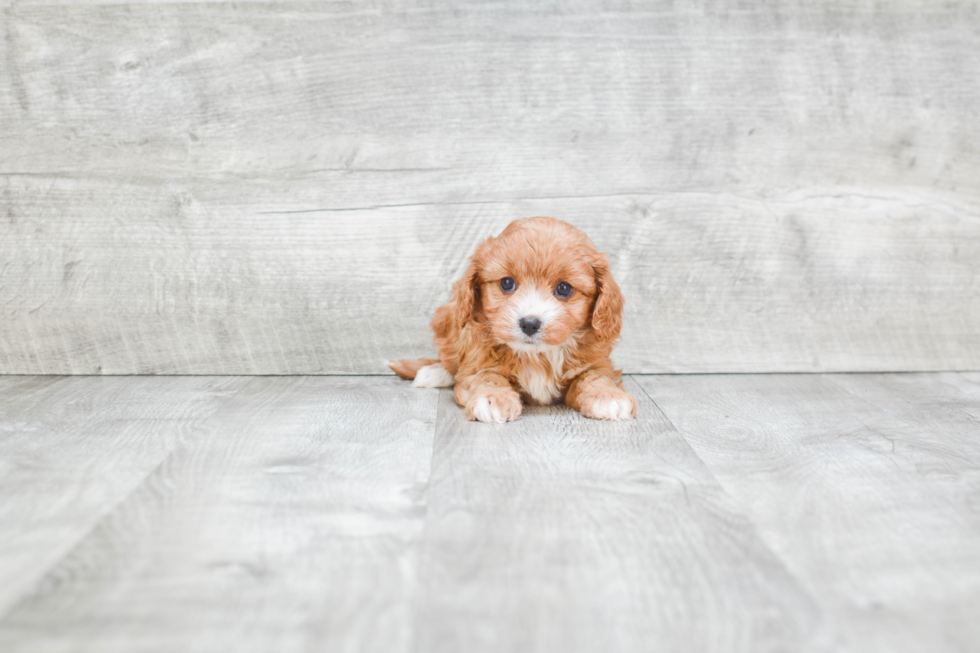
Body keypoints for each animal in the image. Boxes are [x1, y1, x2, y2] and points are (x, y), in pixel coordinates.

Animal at [390, 216, 636, 422]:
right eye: (507, 283)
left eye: (564, 289)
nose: (529, 324)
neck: (537, 355)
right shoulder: (477, 359)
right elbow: (485, 376)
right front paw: (493, 398)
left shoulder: (596, 360)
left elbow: (595, 376)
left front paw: (607, 395)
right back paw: (434, 372)